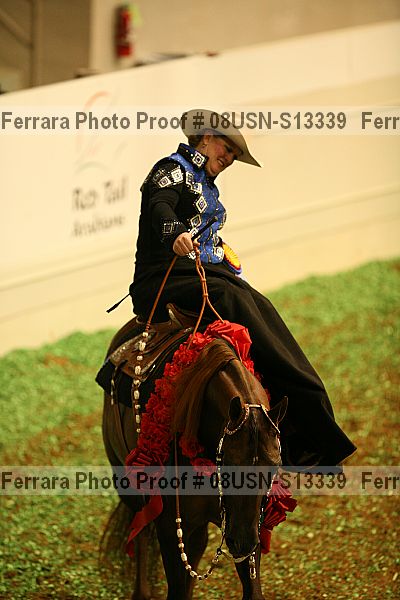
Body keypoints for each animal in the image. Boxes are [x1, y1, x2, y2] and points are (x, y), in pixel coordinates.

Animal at [101, 323, 288, 600]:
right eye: (228, 463)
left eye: (274, 467)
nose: (242, 541)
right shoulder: (171, 528)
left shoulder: (249, 525)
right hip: (128, 485)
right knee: (141, 533)